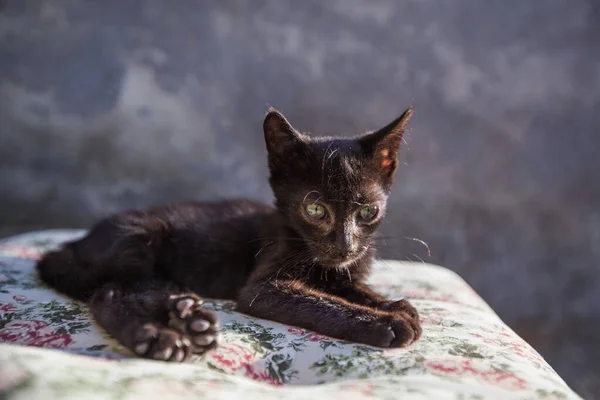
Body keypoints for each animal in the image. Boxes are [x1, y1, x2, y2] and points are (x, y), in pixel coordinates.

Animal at [37, 106, 422, 362]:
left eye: (368, 212)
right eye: (315, 211)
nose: (345, 246)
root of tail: (72, 246)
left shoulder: (343, 273)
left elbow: (351, 289)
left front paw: (393, 304)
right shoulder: (262, 288)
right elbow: (321, 302)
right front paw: (386, 321)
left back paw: (185, 317)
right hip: (140, 239)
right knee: (111, 295)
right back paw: (160, 337)